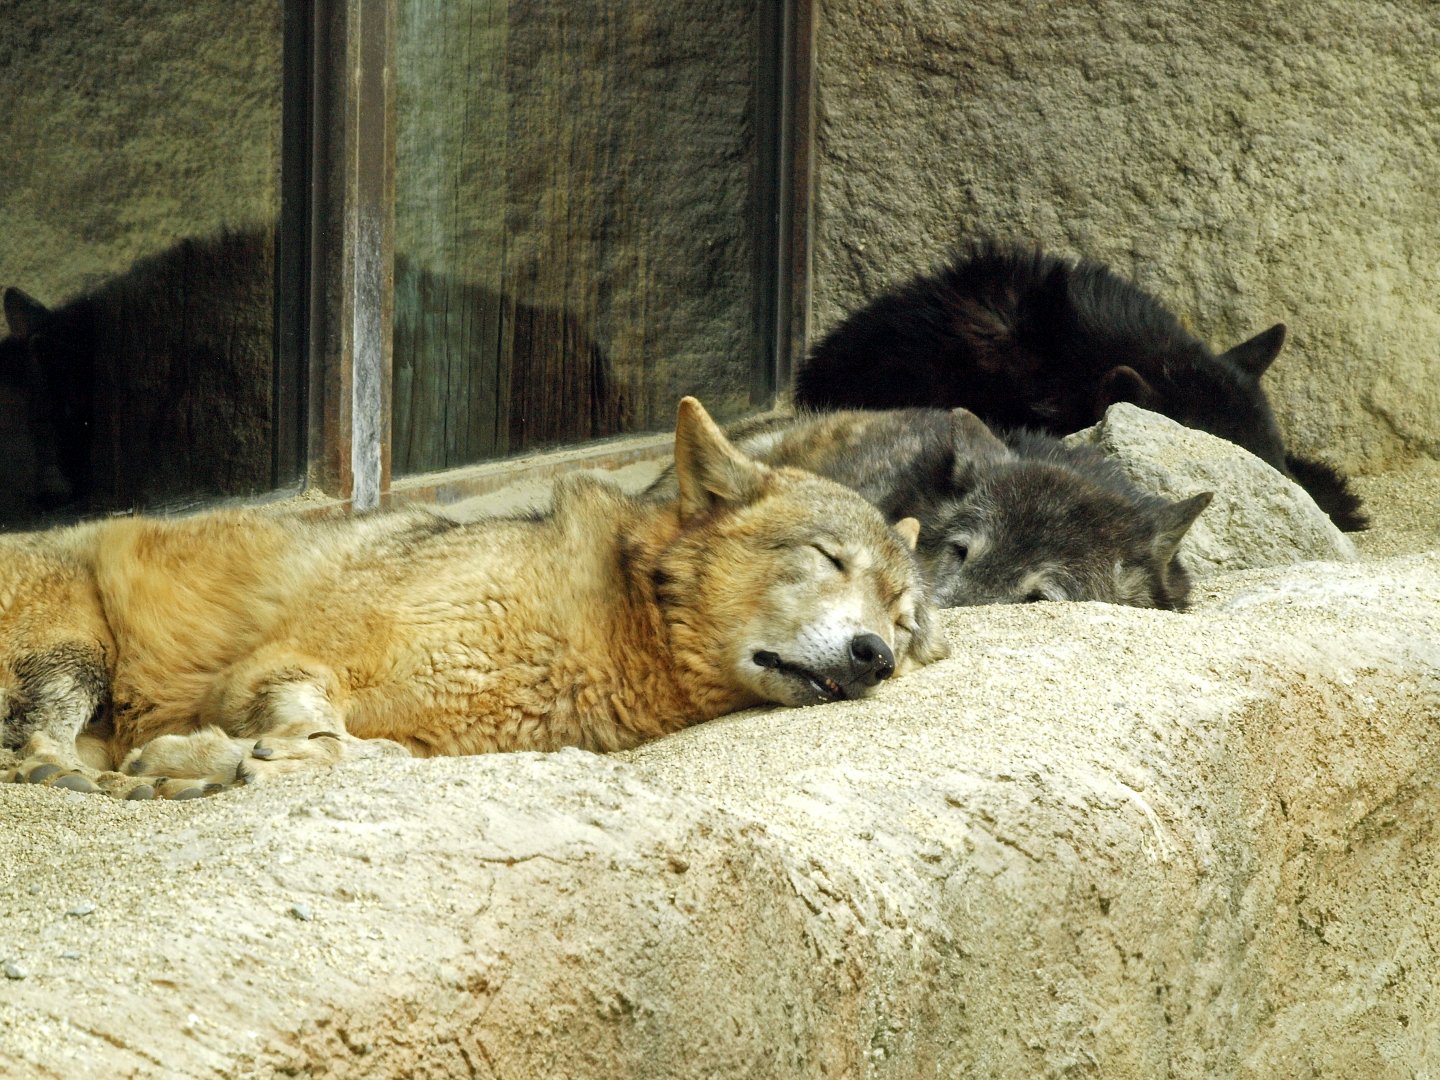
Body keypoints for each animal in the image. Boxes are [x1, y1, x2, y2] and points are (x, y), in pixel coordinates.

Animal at [0, 398, 946, 800]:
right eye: (828, 559)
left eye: (903, 622)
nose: (875, 657)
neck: (605, 623)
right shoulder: (277, 665)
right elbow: (330, 736)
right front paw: (200, 759)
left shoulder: (433, 739)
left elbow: (365, 752)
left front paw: (204, 762)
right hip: (77, 653)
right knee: (35, 745)